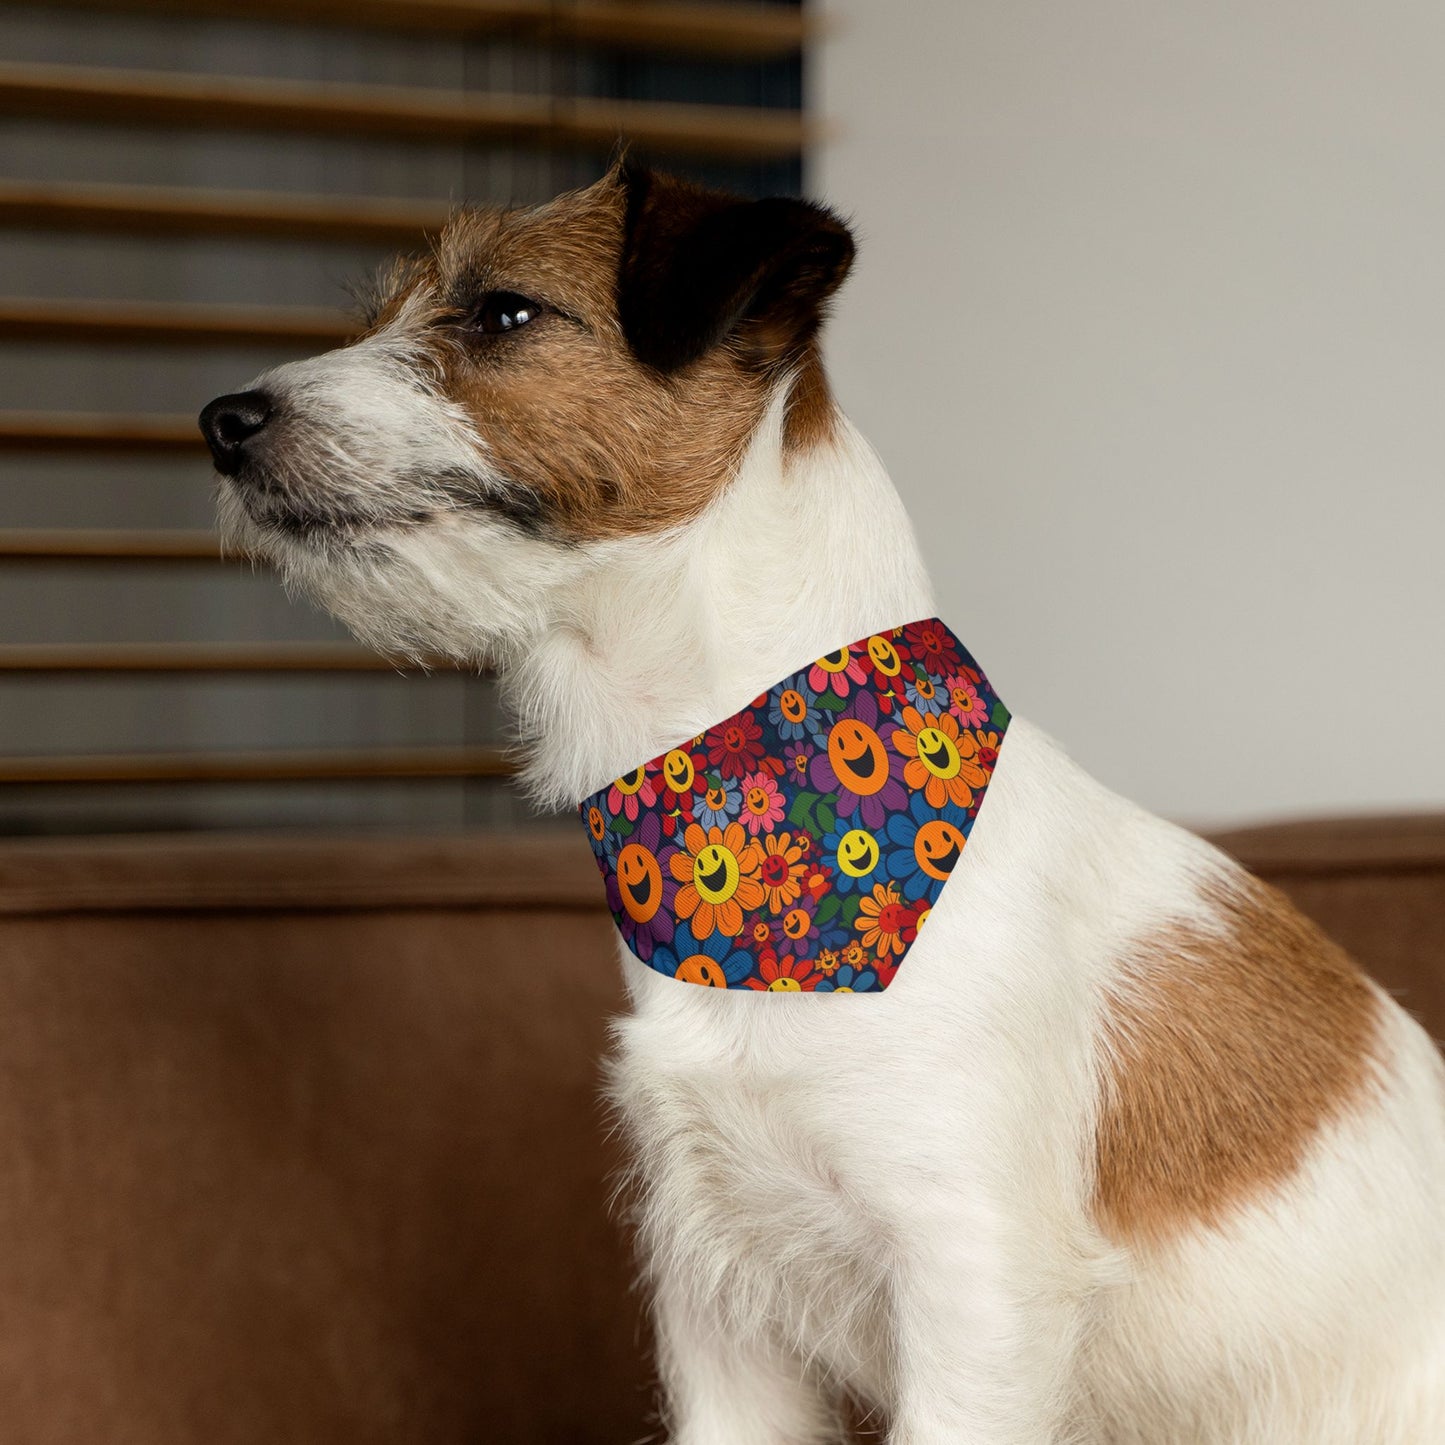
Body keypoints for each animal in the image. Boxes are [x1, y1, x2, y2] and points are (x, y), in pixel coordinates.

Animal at [200, 166, 1445, 1445]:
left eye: (502, 312)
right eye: (382, 314)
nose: (222, 421)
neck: (749, 802)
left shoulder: (972, 1291)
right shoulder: (717, 1304)